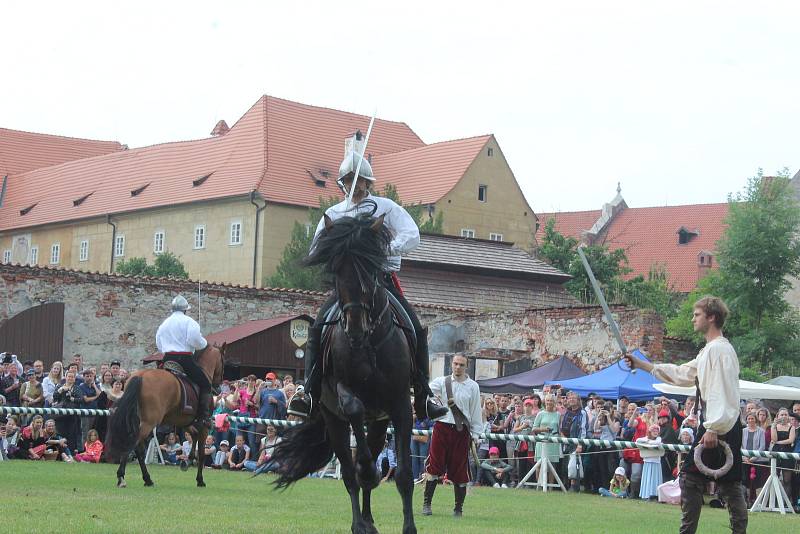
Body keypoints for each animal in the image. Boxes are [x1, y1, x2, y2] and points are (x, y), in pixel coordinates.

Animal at [106, 344, 225, 490]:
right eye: (222, 361)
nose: (218, 388)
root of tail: (141, 376)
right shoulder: (204, 426)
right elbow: (202, 453)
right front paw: (200, 480)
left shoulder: (184, 422)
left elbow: (194, 436)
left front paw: (187, 460)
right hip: (149, 423)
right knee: (134, 444)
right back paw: (123, 477)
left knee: (137, 448)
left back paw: (146, 479)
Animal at [272, 214, 416, 534]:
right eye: (337, 270)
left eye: (369, 270)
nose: (354, 328)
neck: (371, 343)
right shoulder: (343, 394)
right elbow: (354, 418)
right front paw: (368, 473)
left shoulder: (401, 405)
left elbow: (403, 475)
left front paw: (409, 527)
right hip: (334, 421)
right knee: (351, 473)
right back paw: (360, 522)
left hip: (379, 421)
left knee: (369, 457)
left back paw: (370, 519)